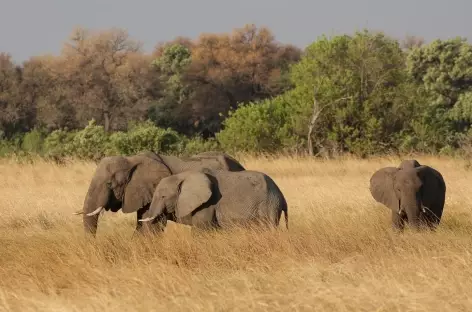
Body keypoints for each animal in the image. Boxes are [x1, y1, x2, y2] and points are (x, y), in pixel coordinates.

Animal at [138, 168, 290, 232]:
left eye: (163, 197)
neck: (184, 176)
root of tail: (282, 197)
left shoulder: (208, 204)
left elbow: (201, 231)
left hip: (269, 205)